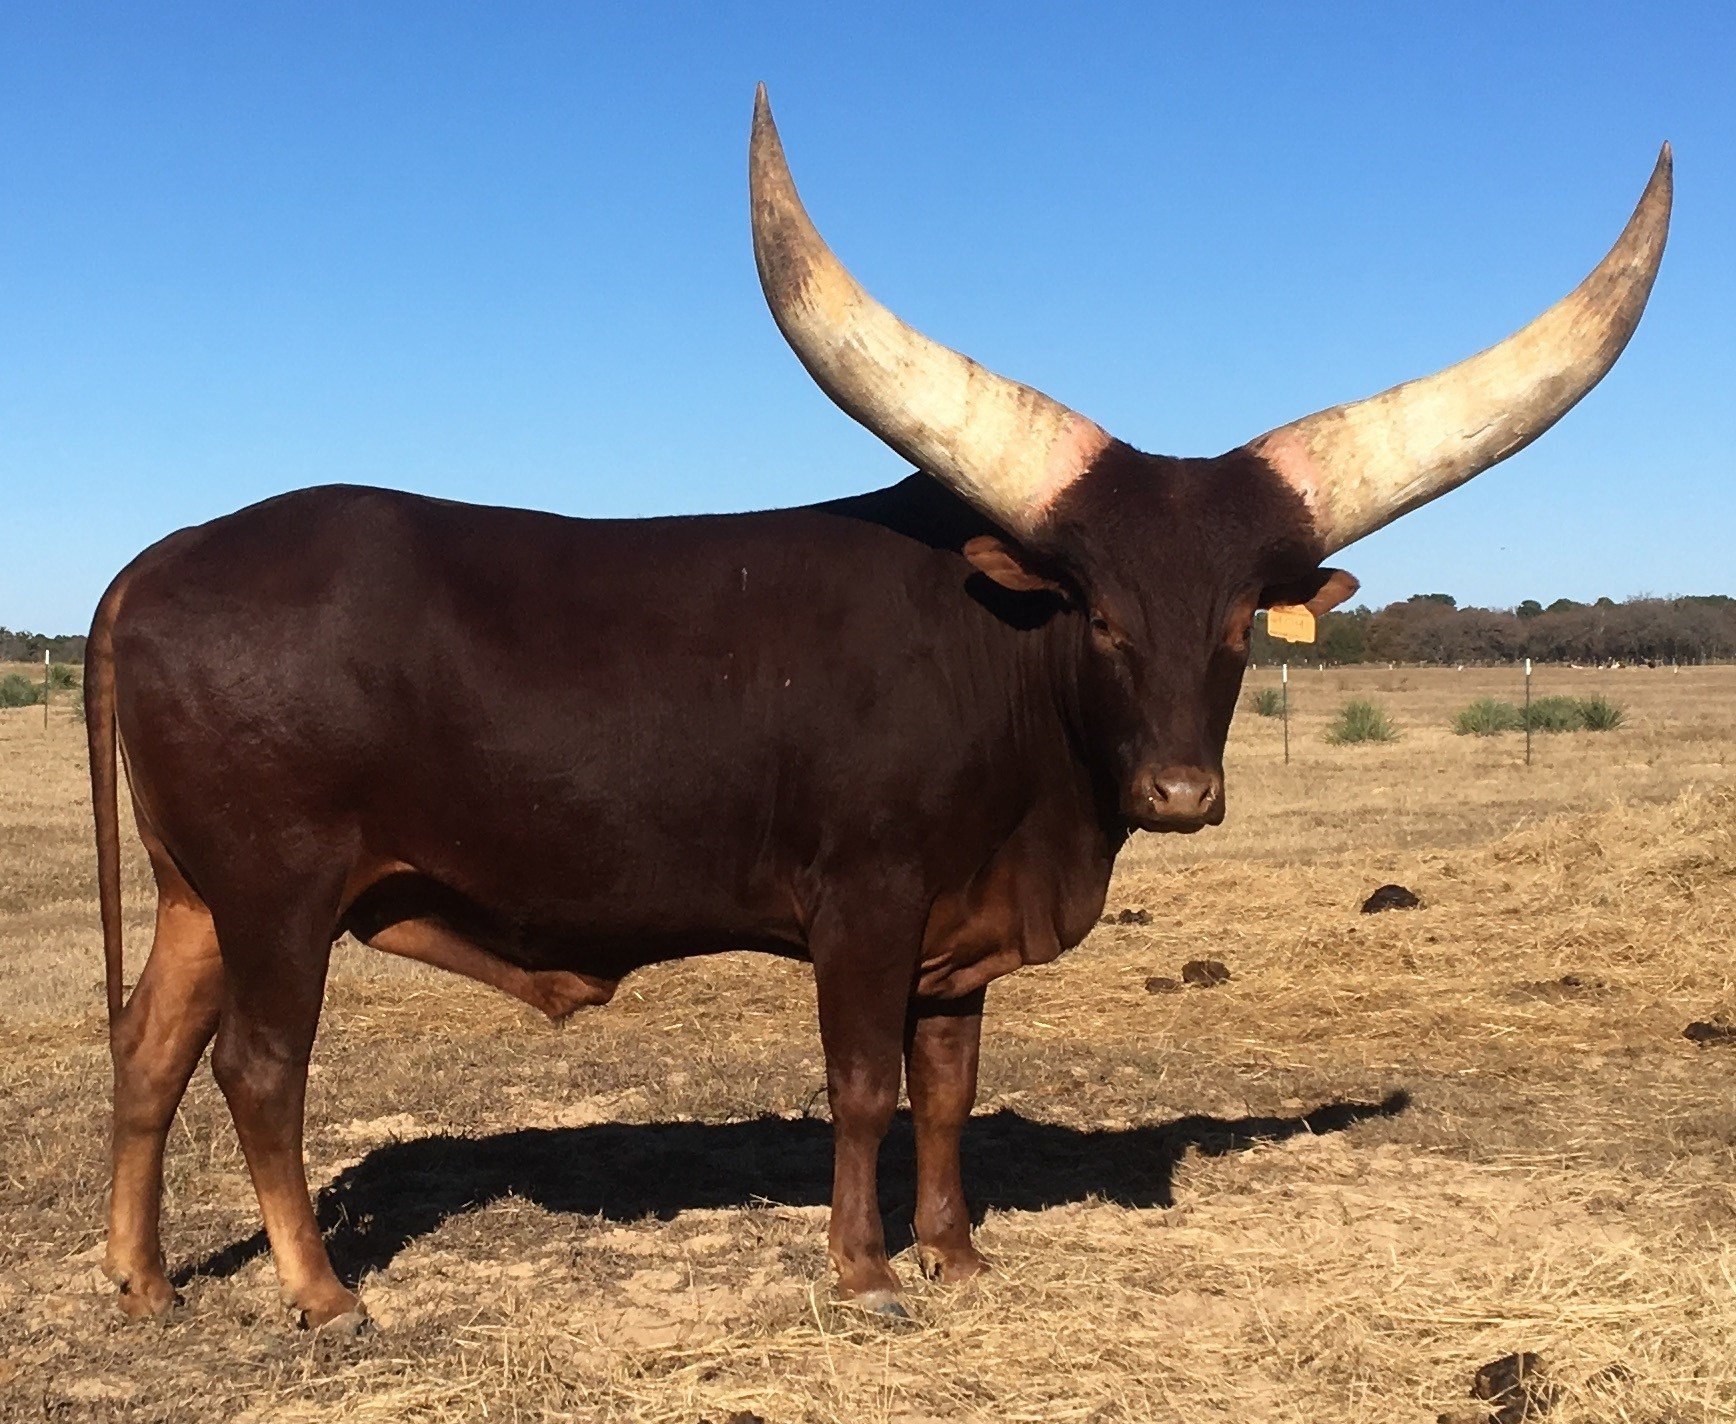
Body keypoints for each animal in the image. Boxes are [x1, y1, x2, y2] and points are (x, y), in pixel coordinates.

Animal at [84, 91, 1666, 1333]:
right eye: (1098, 612)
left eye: (1235, 626)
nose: (1178, 794)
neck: (1005, 676)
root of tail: (160, 559)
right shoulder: (864, 900)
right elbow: (859, 1085)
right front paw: (864, 1272)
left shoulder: (958, 938)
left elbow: (947, 1091)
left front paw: (955, 1254)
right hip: (280, 891)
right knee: (259, 1069)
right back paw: (321, 1294)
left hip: (196, 896)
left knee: (150, 1048)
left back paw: (143, 1281)